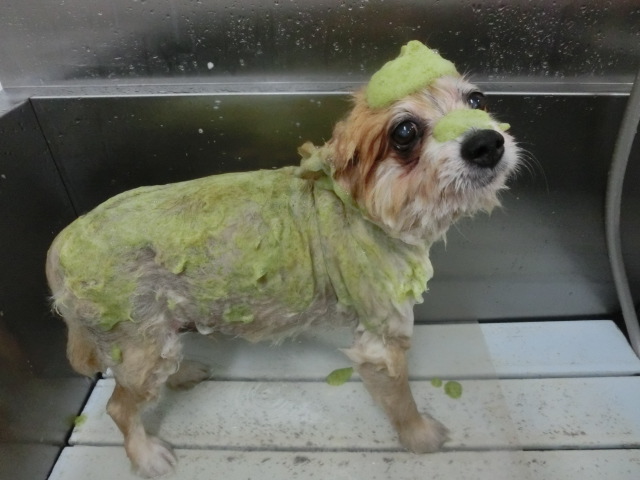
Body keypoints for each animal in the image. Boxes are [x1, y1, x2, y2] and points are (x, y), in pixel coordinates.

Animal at [46, 41, 519, 477]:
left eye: (476, 100)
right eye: (404, 132)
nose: (486, 142)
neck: (363, 210)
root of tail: (60, 247)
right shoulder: (381, 338)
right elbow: (401, 399)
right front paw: (420, 437)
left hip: (156, 333)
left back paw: (183, 373)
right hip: (136, 341)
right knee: (120, 408)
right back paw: (146, 455)